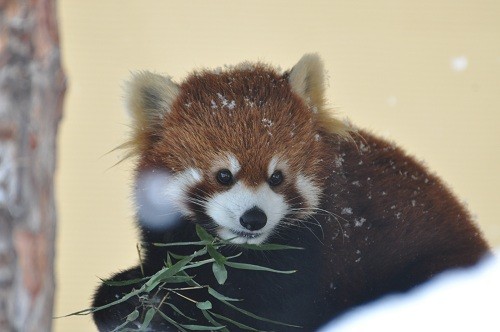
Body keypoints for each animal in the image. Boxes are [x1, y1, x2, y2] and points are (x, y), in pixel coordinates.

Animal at [93, 53, 488, 330]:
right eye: (224, 175)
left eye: (277, 177)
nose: (253, 219)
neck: (237, 255)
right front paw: (129, 300)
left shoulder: (309, 259)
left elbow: (266, 314)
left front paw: (174, 310)